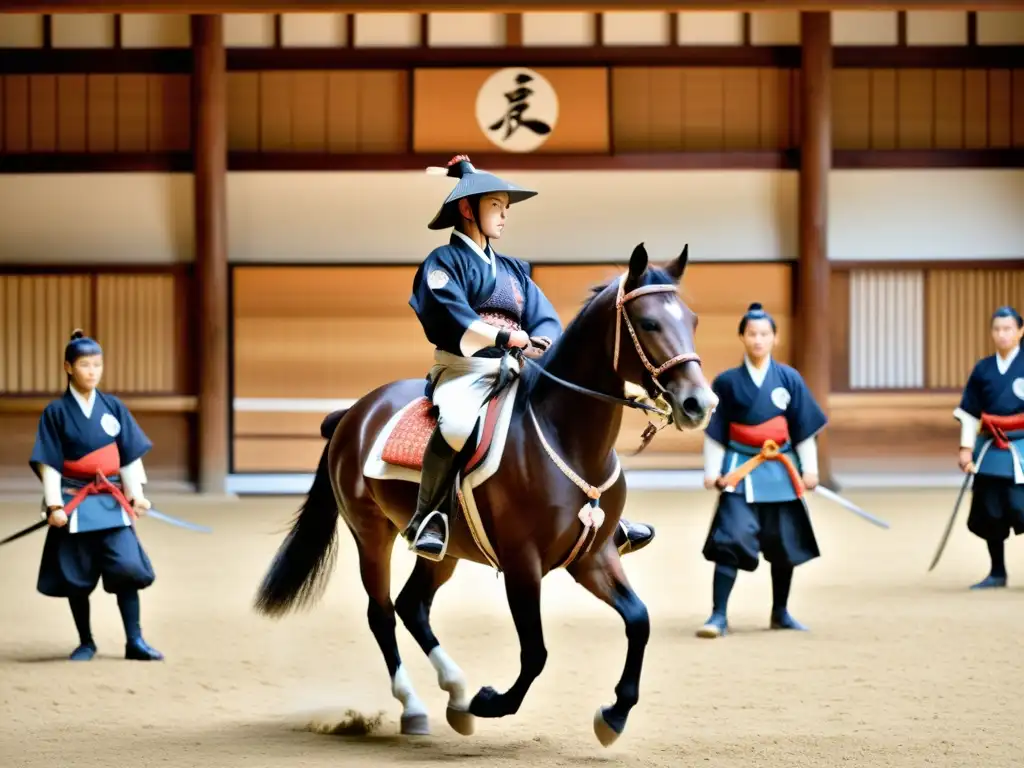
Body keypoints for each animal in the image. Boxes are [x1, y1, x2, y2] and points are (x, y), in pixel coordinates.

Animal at [253, 240, 720, 745]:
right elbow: (536, 652)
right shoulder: (522, 563)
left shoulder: (593, 557)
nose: (699, 404)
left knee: (412, 605)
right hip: (371, 534)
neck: (567, 438)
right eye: (649, 323)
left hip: (445, 549)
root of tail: (355, 413)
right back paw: (418, 706)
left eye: (693, 320)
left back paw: (455, 693)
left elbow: (639, 620)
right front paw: (491, 701)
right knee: (382, 613)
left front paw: (613, 715)